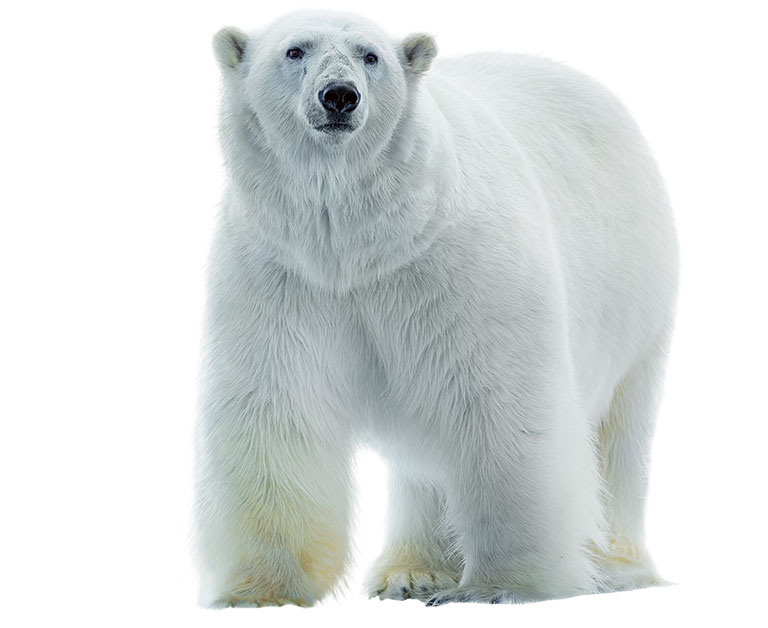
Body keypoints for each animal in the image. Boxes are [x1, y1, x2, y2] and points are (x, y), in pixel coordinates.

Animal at [194, 10, 678, 607]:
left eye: (370, 55)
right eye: (294, 50)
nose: (339, 95)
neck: (359, 241)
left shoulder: (454, 264)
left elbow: (499, 404)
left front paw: (502, 586)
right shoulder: (283, 274)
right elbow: (274, 405)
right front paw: (257, 591)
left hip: (636, 292)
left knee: (617, 432)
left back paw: (615, 568)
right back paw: (411, 573)